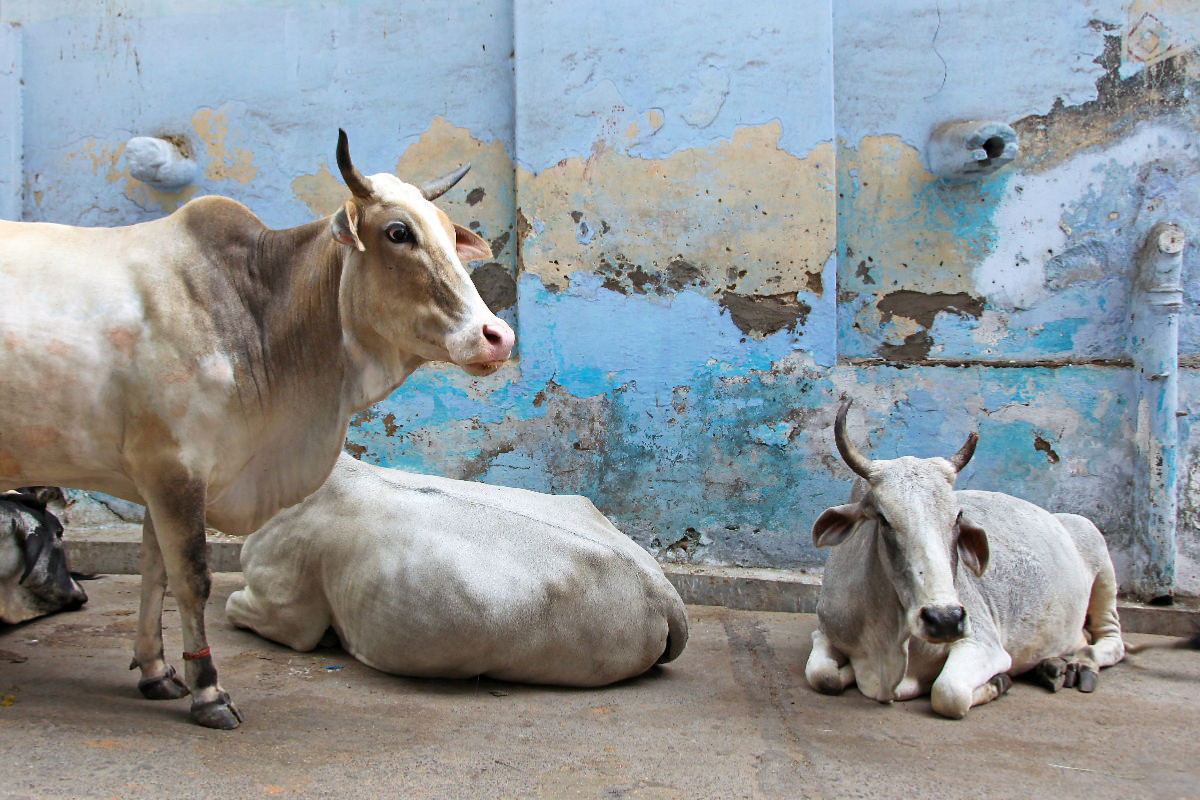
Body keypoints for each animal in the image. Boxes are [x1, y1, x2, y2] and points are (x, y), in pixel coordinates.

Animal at [0, 134, 511, 729]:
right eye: (398, 232)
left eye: (452, 234)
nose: (496, 336)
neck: (257, 316)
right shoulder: (174, 469)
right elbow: (192, 579)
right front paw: (207, 690)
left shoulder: (156, 479)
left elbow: (155, 572)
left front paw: (155, 671)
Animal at [806, 400, 1123, 719]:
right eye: (884, 519)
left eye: (958, 517)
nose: (945, 619)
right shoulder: (825, 631)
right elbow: (823, 676)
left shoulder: (983, 642)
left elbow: (948, 693)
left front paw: (1000, 681)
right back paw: (1051, 667)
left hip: (1099, 554)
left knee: (1111, 640)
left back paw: (1081, 664)